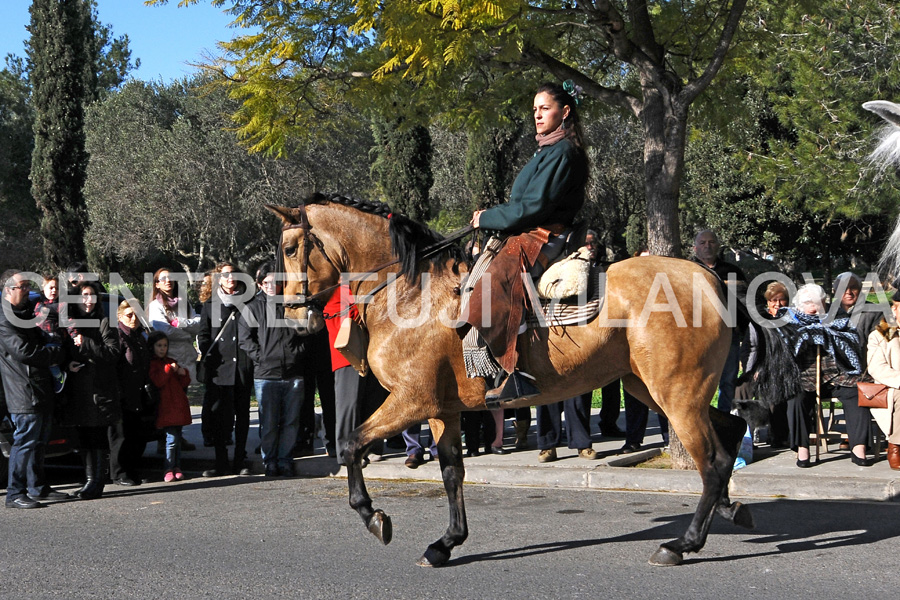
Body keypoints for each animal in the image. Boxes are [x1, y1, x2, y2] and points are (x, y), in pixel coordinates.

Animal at [268, 193, 752, 568]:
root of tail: (710, 277)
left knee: (712, 461)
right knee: (730, 433)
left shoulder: (411, 401)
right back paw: (730, 509)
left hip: (676, 394)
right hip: (651, 389)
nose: (292, 315)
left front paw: (373, 516)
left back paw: (682, 544)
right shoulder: (442, 410)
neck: (410, 294)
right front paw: (447, 543)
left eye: (290, 249)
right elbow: (451, 472)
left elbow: (351, 445)